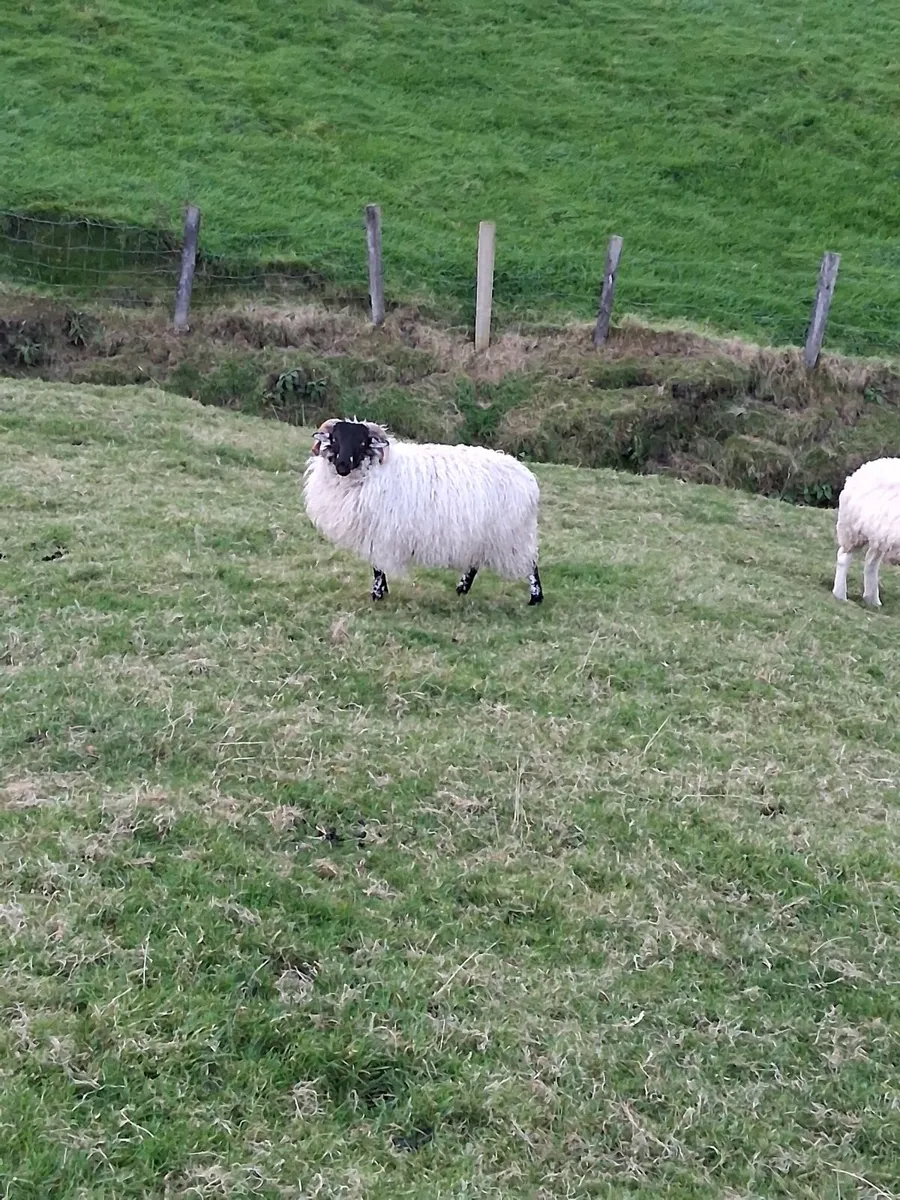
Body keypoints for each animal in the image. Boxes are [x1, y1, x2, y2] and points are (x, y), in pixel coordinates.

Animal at [302, 417, 544, 605]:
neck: (373, 470)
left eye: (362, 441)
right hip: (483, 533)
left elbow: (378, 568)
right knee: (475, 563)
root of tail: (528, 478)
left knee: (531, 565)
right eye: (335, 439)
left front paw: (377, 594)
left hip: (512, 535)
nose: (342, 464)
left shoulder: (380, 531)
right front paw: (383, 592)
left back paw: (535, 598)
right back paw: (461, 589)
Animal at [832, 457, 900, 608]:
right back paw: (840, 595)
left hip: (879, 536)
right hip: (853, 529)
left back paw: (872, 600)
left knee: (870, 561)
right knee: (844, 556)